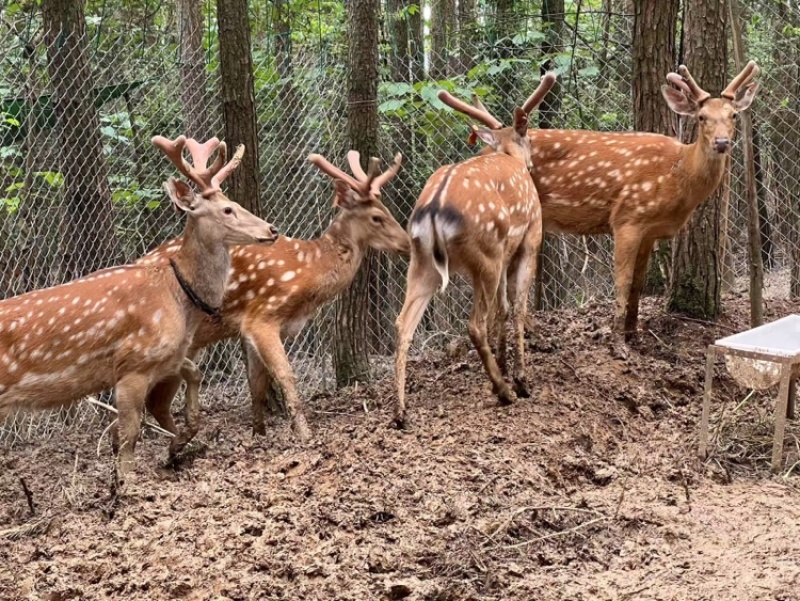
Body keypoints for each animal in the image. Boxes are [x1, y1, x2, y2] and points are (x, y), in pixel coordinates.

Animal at [0, 135, 278, 483]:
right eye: (227, 209)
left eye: (235, 202)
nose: (271, 230)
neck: (176, 297)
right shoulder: (132, 362)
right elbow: (130, 435)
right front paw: (128, 484)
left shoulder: (164, 355)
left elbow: (192, 374)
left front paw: (180, 442)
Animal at [134, 151, 410, 441]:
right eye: (377, 217)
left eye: (387, 210)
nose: (407, 244)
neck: (308, 270)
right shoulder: (263, 315)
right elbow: (286, 375)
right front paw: (304, 433)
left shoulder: (248, 326)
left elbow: (257, 384)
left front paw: (259, 434)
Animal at [392, 72, 556, 428]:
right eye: (529, 139)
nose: (532, 163)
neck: (507, 154)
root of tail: (434, 210)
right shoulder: (529, 238)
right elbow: (517, 307)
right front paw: (520, 379)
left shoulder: (505, 254)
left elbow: (503, 308)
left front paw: (505, 366)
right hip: (486, 253)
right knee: (474, 324)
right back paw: (504, 392)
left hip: (423, 262)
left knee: (403, 323)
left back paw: (400, 412)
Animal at [466, 62, 760, 342]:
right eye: (701, 117)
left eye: (734, 115)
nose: (722, 142)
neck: (677, 175)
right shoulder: (627, 217)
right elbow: (622, 281)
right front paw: (618, 339)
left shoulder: (650, 231)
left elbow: (639, 284)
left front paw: (633, 333)